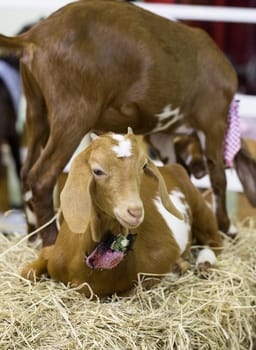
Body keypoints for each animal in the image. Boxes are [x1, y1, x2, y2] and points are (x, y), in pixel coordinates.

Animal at [0, 0, 253, 246]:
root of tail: (34, 36)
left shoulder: (162, 134)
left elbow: (173, 170)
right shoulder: (213, 120)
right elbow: (218, 176)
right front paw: (228, 229)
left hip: (36, 109)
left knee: (26, 171)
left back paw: (33, 239)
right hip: (73, 112)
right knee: (41, 177)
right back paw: (50, 241)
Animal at [21, 131, 223, 298]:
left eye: (143, 166)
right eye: (97, 170)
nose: (135, 212)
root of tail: (171, 167)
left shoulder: (160, 260)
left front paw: (178, 268)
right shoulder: (53, 252)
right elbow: (27, 272)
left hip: (201, 208)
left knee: (214, 242)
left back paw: (203, 264)